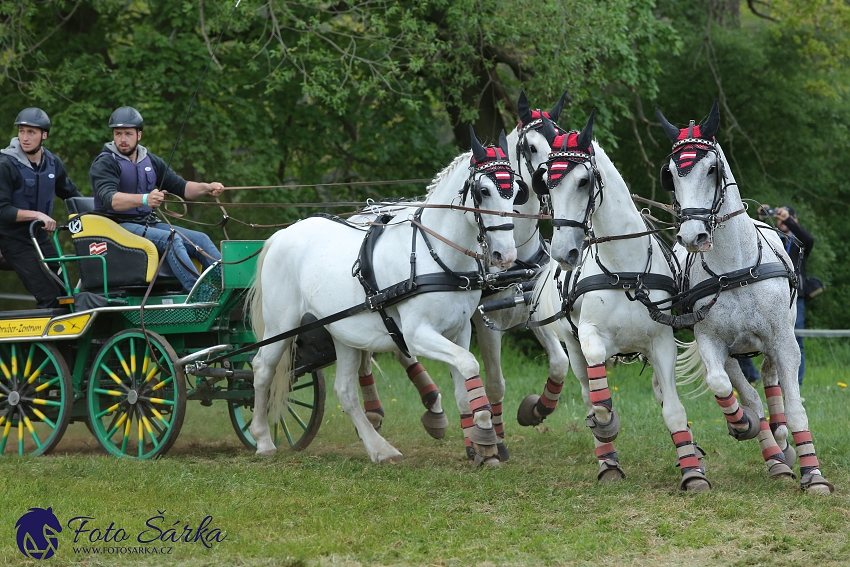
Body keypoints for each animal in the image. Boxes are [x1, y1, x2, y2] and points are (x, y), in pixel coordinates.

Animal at [245, 129, 520, 466]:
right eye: (483, 191)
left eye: (517, 191)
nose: (506, 255)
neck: (436, 255)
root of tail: (281, 235)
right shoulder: (417, 335)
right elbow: (469, 365)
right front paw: (484, 433)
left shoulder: (460, 331)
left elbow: (463, 388)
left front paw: (479, 448)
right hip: (281, 327)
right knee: (262, 369)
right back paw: (262, 440)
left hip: (343, 332)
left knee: (345, 390)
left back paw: (380, 448)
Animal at [524, 112, 708, 492]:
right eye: (548, 184)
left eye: (583, 181)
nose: (565, 252)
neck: (626, 271)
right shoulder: (591, 337)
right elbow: (600, 401)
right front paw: (606, 427)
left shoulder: (662, 342)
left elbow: (673, 409)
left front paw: (693, 471)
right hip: (571, 345)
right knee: (587, 390)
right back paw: (607, 461)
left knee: (658, 392)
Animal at [652, 101, 832, 492]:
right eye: (670, 174)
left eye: (712, 168)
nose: (693, 235)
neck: (734, 270)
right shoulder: (712, 341)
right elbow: (722, 385)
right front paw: (742, 424)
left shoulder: (784, 341)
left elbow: (795, 406)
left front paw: (813, 474)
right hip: (736, 354)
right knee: (748, 390)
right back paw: (772, 452)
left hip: (775, 339)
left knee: (770, 379)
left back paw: (782, 442)